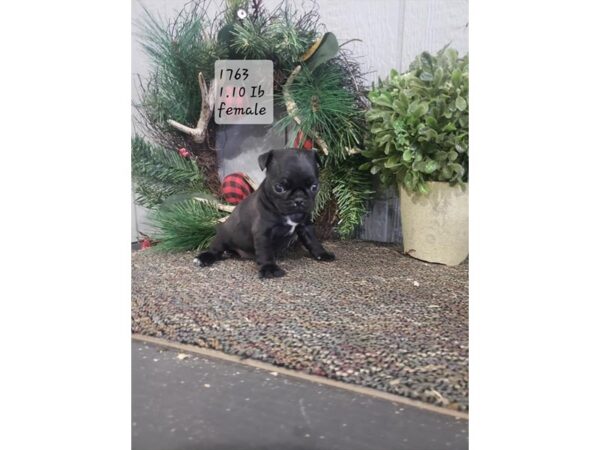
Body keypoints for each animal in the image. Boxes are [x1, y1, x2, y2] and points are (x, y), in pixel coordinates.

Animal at [193, 149, 336, 278]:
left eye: (314, 187)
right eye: (279, 188)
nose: (299, 200)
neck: (289, 215)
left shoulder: (305, 226)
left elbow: (313, 241)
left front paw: (322, 254)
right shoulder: (263, 233)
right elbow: (265, 252)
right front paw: (269, 268)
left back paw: (228, 253)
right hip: (223, 235)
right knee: (216, 249)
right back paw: (204, 258)